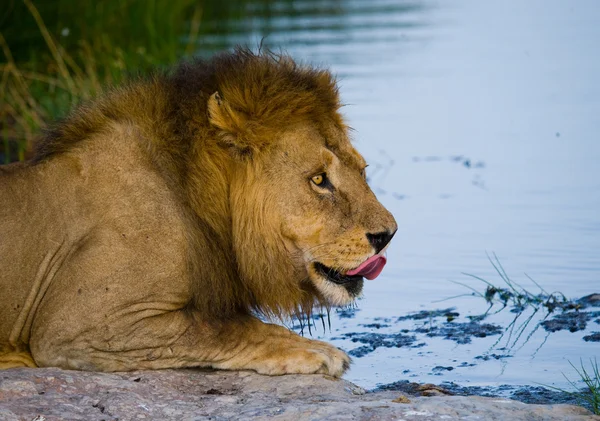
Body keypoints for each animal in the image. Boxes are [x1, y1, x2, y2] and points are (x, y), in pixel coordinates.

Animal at [1, 47, 398, 376]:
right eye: (318, 179)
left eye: (362, 170)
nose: (387, 235)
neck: (189, 198)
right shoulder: (81, 326)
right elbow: (222, 326)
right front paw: (317, 351)